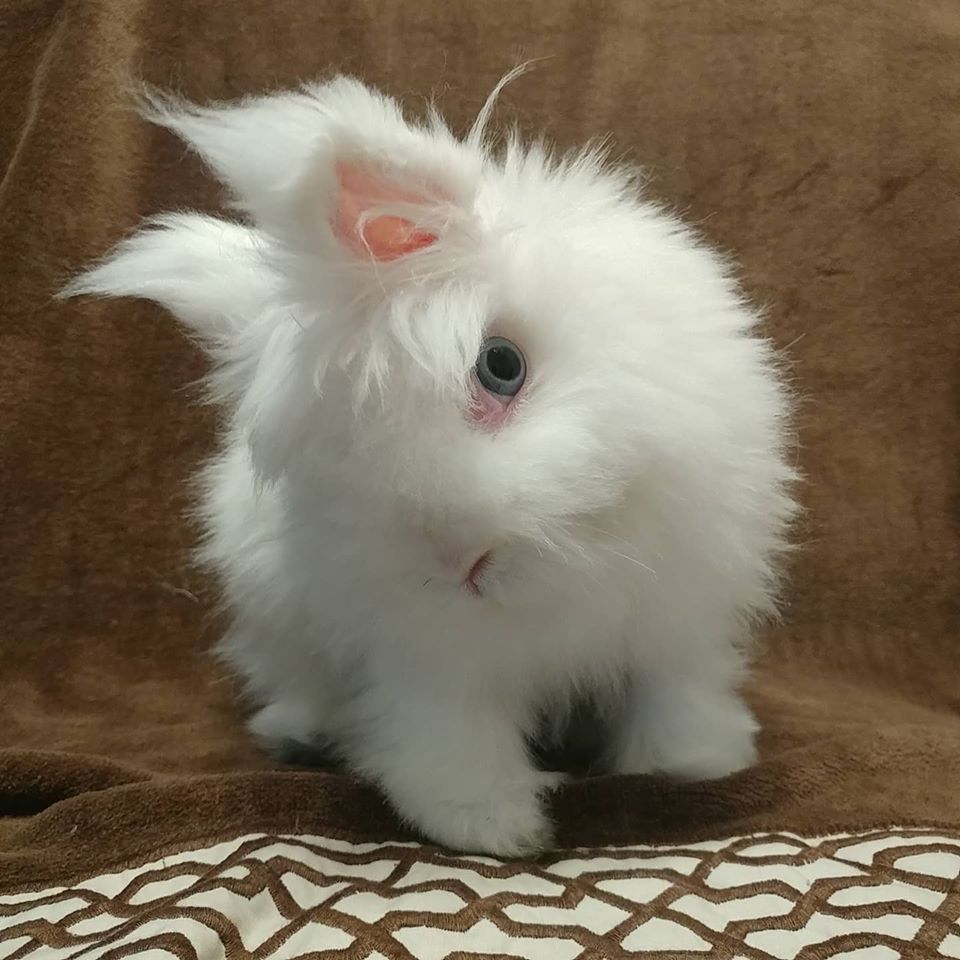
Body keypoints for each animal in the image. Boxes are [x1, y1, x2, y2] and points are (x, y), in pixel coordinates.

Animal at [67, 75, 796, 856]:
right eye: (338, 449)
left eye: (500, 365)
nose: (460, 561)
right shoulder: (431, 660)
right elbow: (452, 740)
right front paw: (489, 824)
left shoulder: (680, 623)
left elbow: (675, 696)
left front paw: (693, 763)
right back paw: (304, 733)